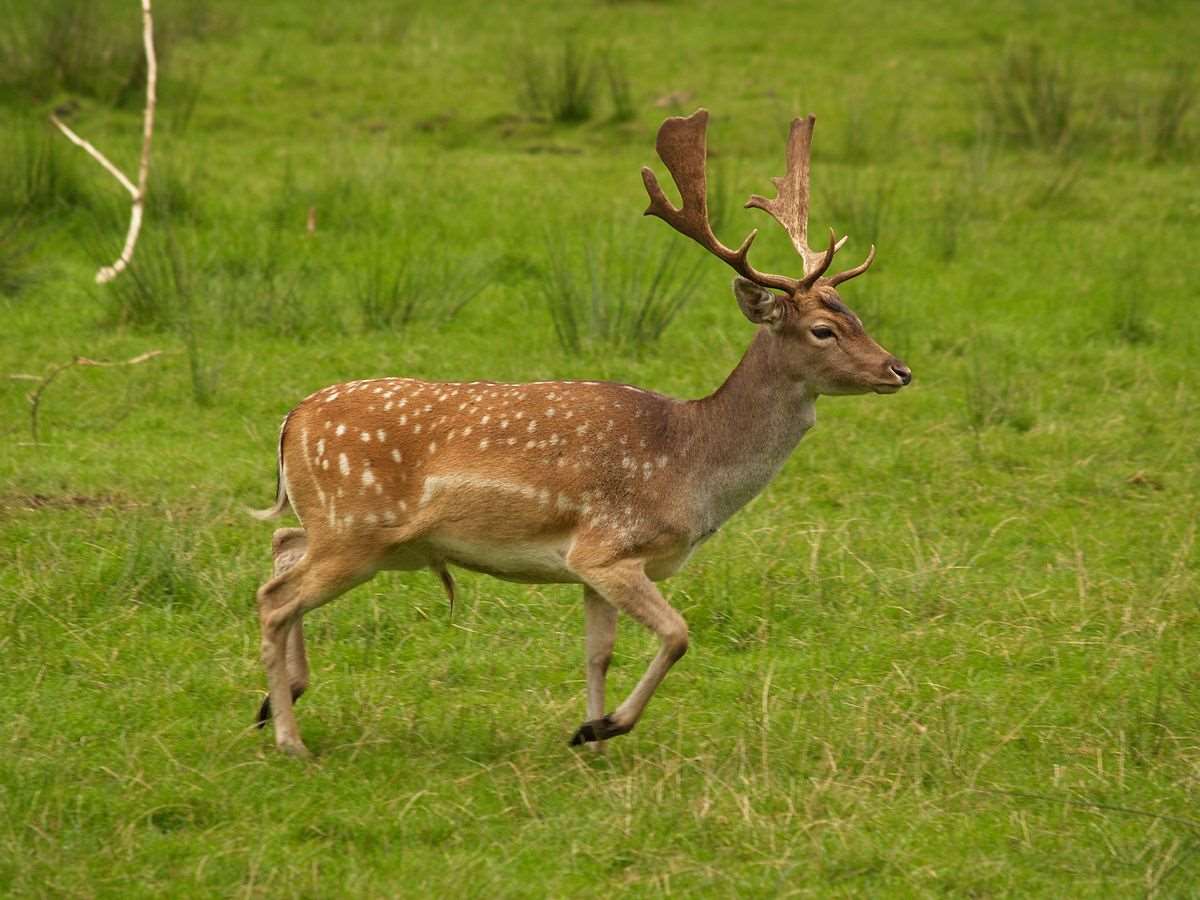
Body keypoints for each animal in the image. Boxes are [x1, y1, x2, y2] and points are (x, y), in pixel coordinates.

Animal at [250, 111, 907, 763]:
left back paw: (273, 702)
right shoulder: (606, 547)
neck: (689, 467)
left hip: (350, 531)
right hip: (355, 529)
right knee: (276, 598)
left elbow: (599, 652)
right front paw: (606, 726)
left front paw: (589, 737)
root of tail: (291, 420)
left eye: (856, 316)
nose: (899, 369)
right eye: (822, 329)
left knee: (282, 546)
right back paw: (289, 738)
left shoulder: (594, 568)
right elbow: (677, 634)